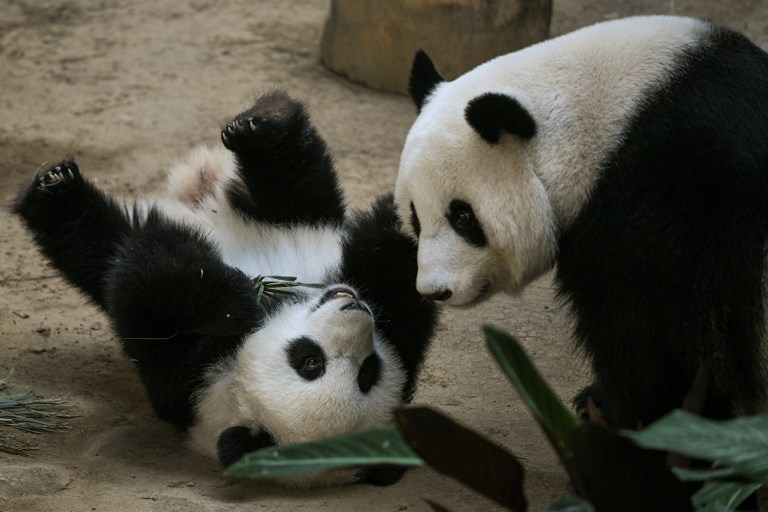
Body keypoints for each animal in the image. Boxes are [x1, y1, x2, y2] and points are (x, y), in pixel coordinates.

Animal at [14, 90, 439, 487]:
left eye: (368, 372)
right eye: (310, 361)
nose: (355, 308)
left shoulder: (185, 382)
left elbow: (143, 285)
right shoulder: (187, 377)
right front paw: (239, 300)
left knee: (97, 241)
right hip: (284, 216)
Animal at [395, 15, 768, 430]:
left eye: (462, 217)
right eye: (415, 216)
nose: (433, 291)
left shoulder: (672, 202)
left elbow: (657, 335)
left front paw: (626, 416)